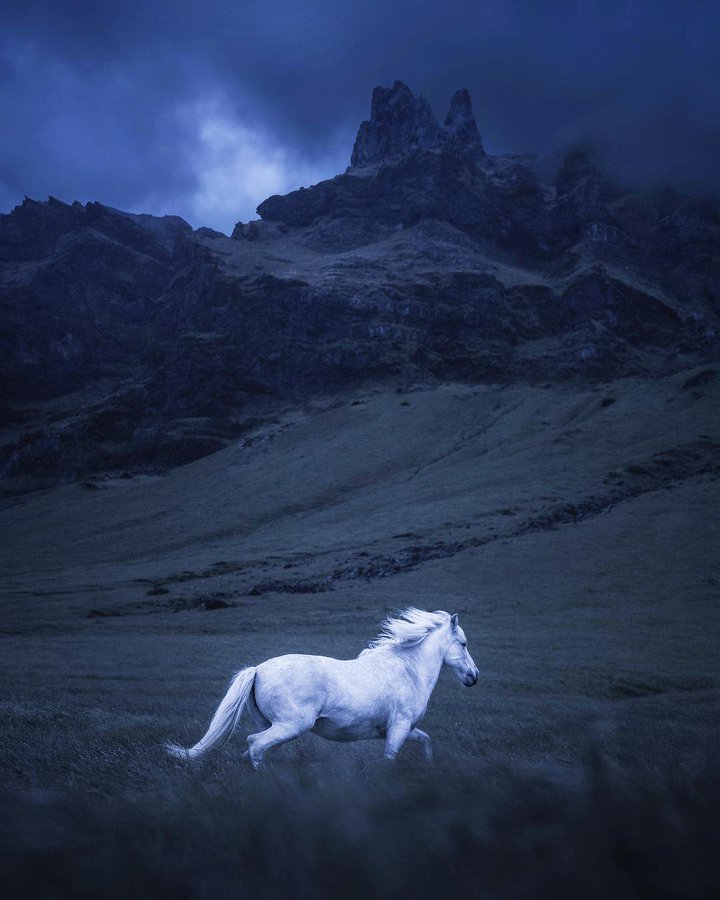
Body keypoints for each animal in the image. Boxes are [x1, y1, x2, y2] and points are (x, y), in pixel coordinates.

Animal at [165, 607, 479, 768]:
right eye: (463, 643)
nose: (473, 677)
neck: (408, 670)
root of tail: (258, 669)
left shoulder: (401, 730)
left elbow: (426, 740)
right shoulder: (398, 729)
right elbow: (389, 760)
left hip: (274, 725)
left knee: (255, 749)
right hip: (292, 725)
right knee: (254, 745)